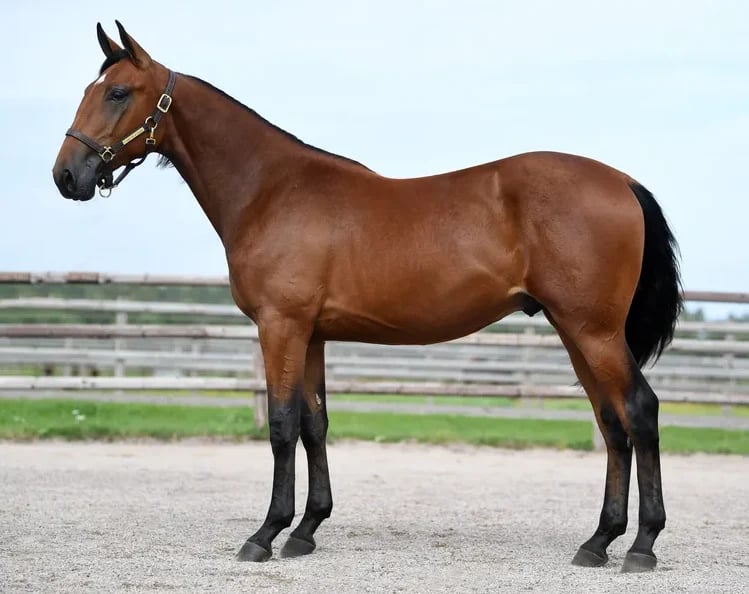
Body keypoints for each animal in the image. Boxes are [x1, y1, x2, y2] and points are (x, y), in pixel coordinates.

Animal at [53, 22, 682, 573]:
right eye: (87, 90)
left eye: (117, 92)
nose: (66, 177)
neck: (271, 189)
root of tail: (622, 181)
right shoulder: (311, 334)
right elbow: (314, 424)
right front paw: (305, 531)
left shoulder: (281, 326)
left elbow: (281, 425)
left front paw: (265, 534)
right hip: (576, 331)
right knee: (612, 423)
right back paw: (598, 541)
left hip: (593, 331)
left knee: (639, 411)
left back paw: (642, 546)